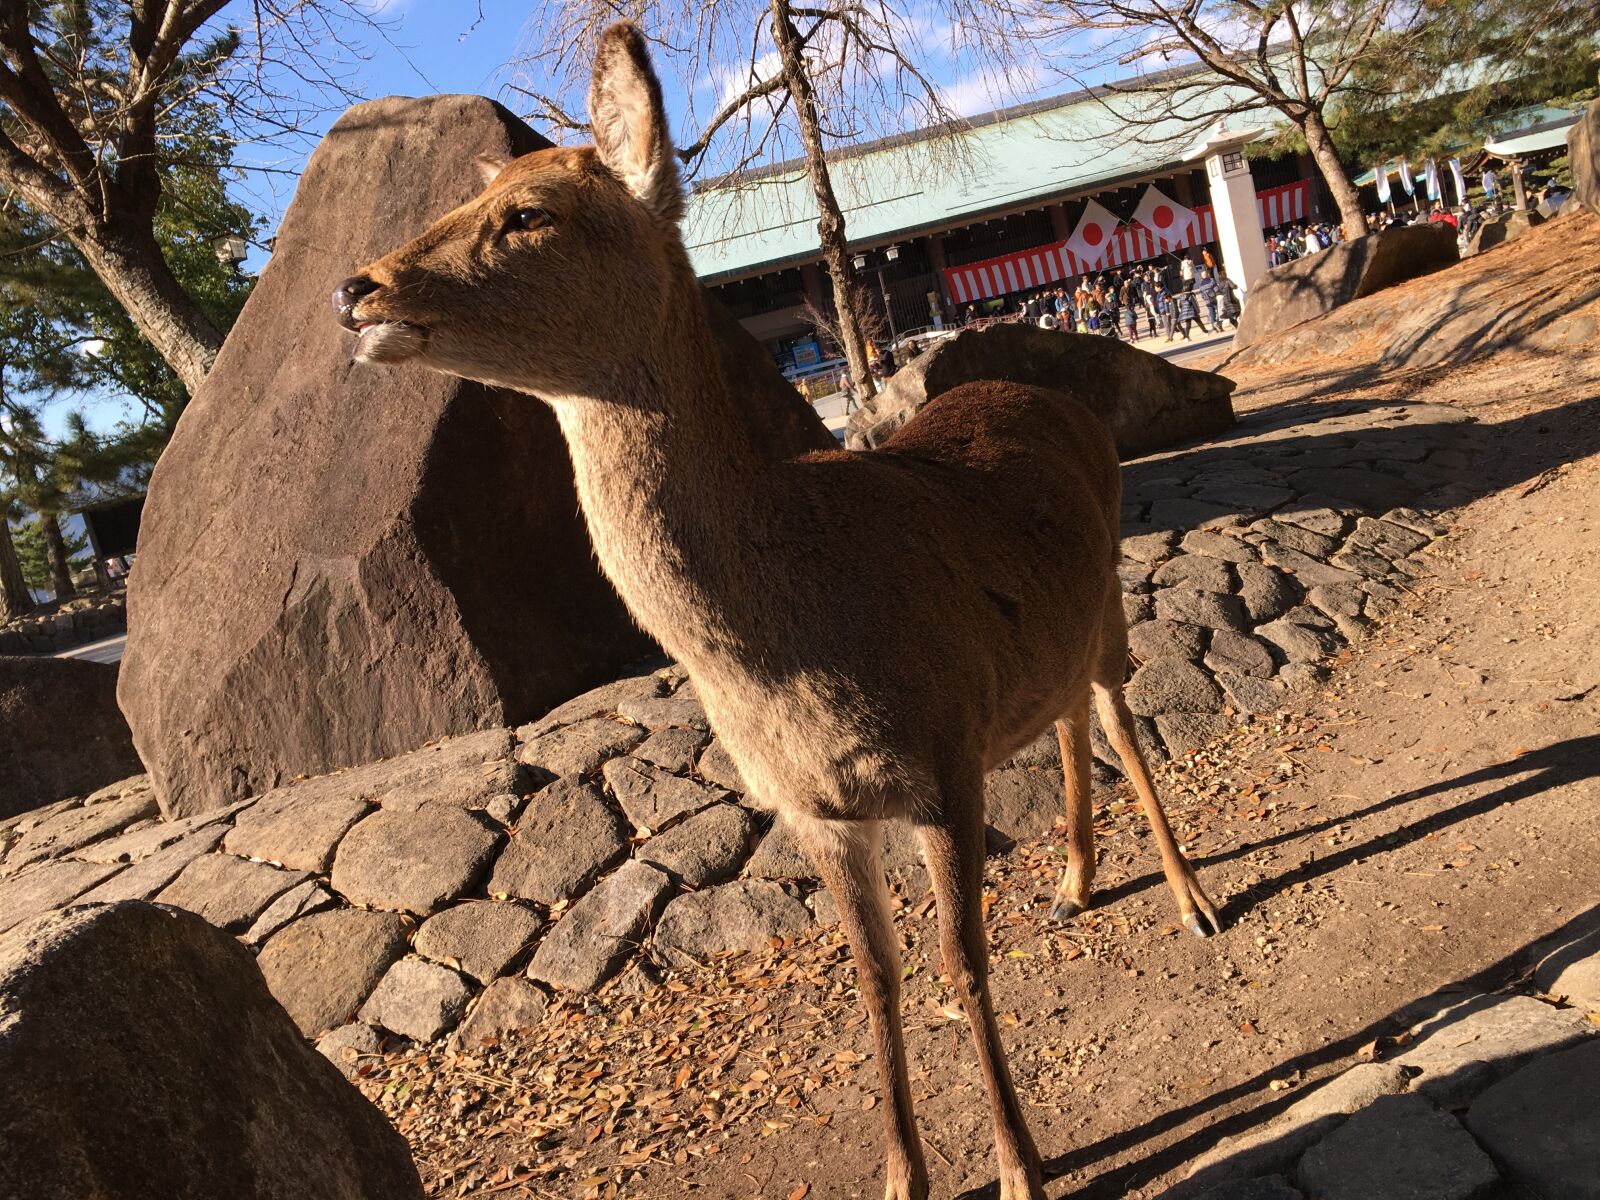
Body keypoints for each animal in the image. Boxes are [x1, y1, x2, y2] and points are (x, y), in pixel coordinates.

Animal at [331, 24, 1220, 1200]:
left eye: (528, 212)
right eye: (478, 195)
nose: (355, 287)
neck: (794, 642)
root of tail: (1056, 396)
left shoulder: (942, 760)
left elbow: (961, 962)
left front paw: (1023, 1169)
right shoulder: (812, 808)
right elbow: (876, 974)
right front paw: (900, 1177)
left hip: (1113, 596)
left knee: (1119, 714)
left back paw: (1193, 901)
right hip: (1048, 638)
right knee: (1068, 712)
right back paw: (1076, 881)